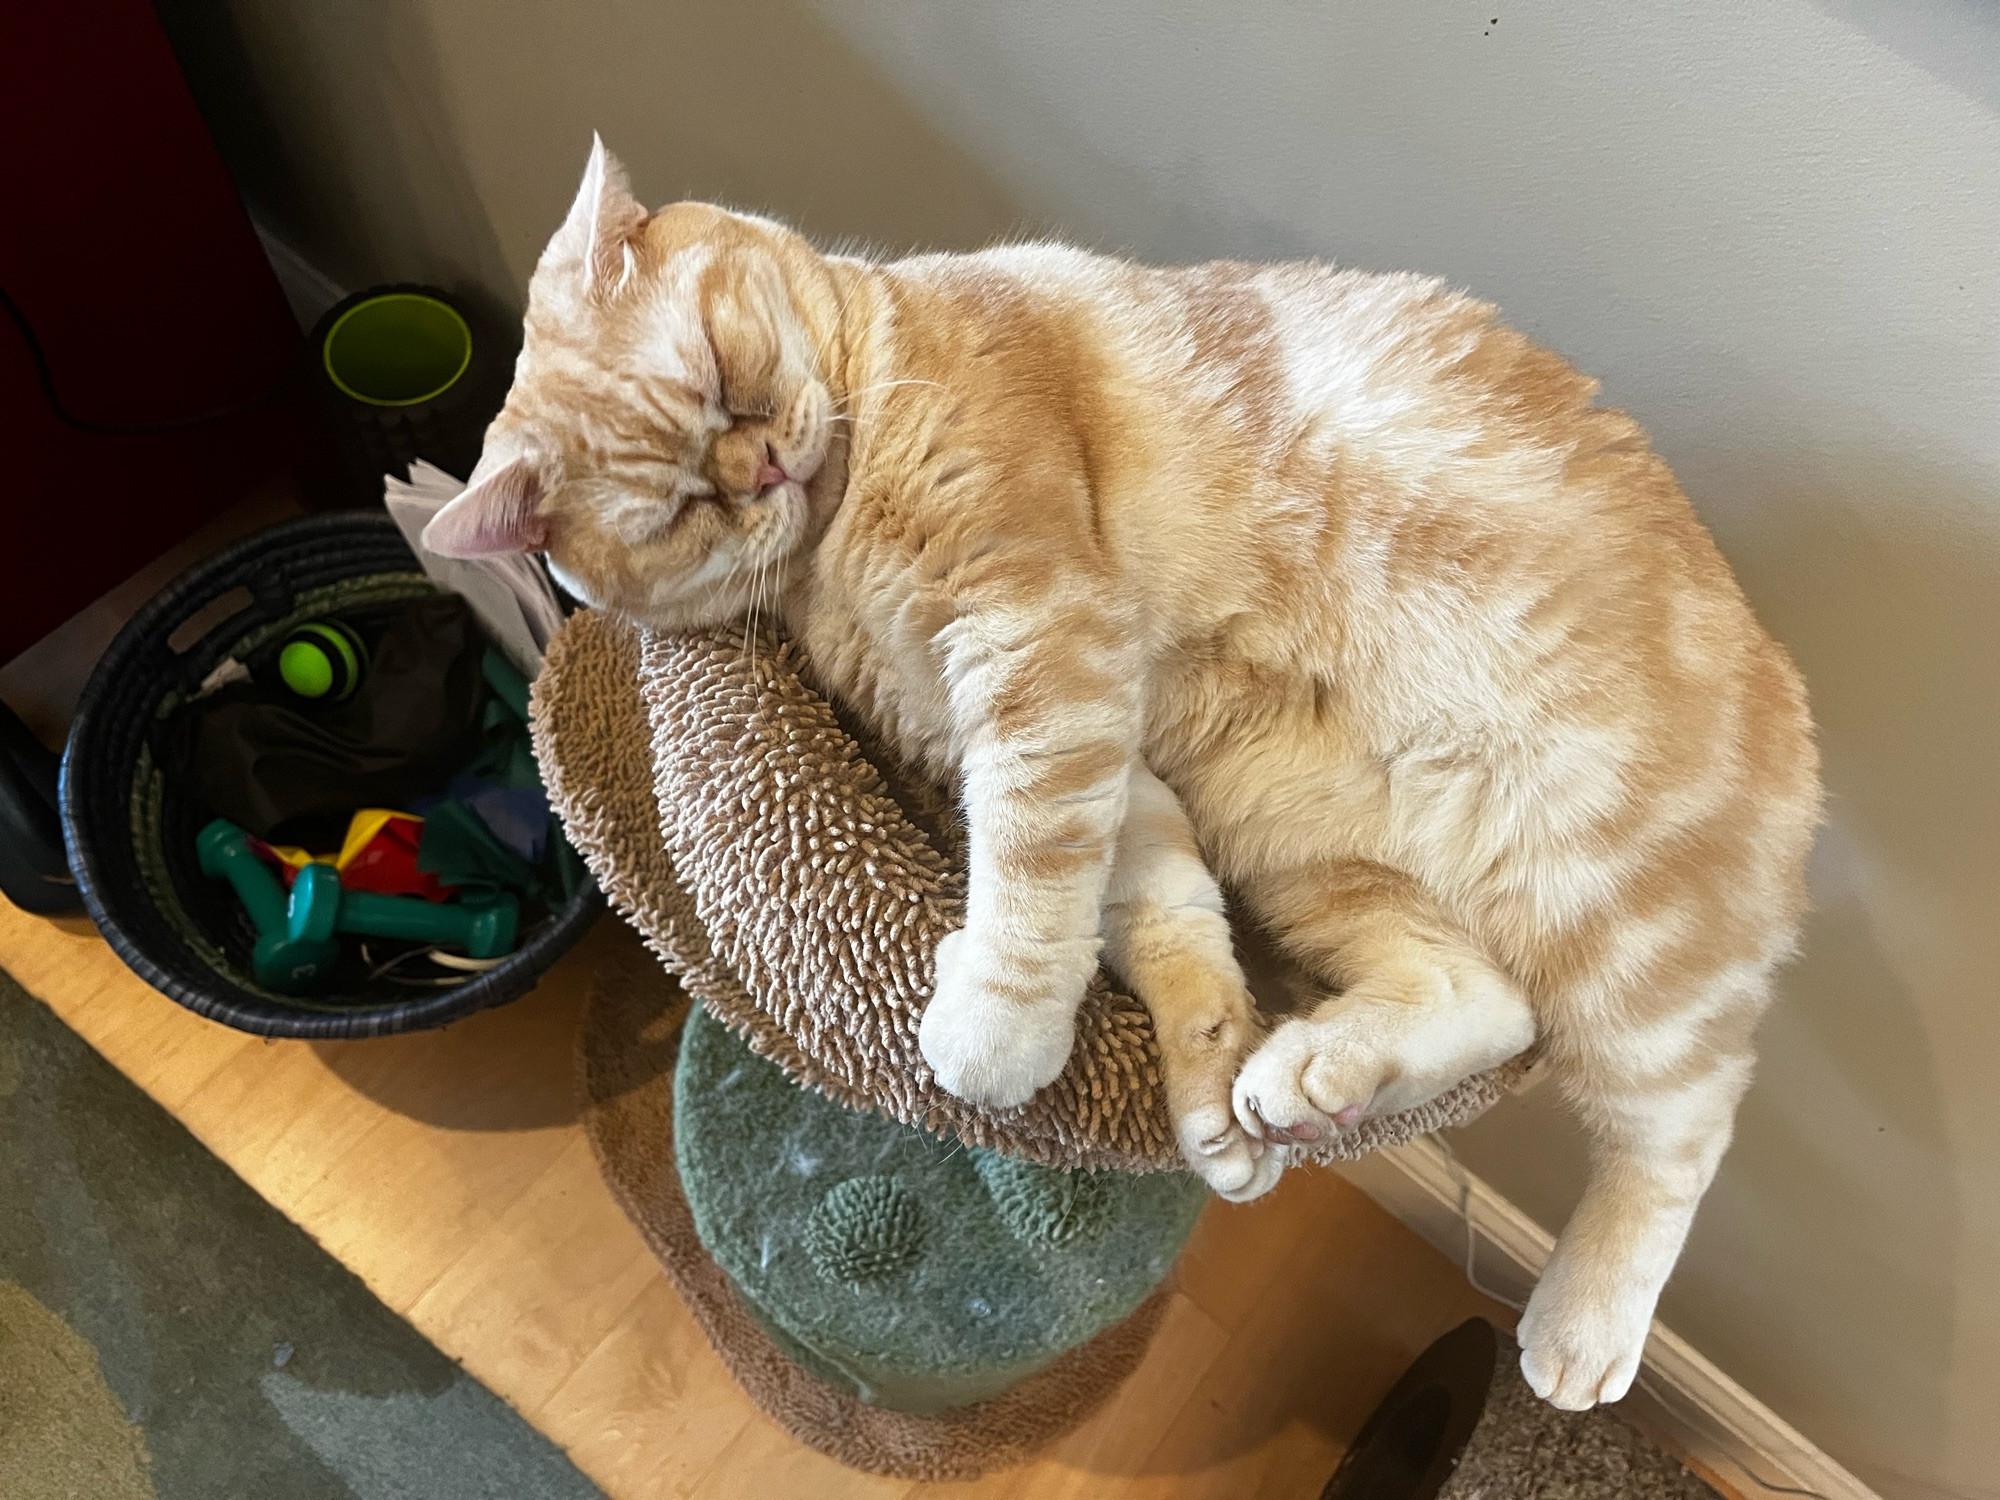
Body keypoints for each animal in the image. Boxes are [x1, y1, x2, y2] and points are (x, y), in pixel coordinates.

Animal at [430, 141, 1824, 1408]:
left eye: (725, 381)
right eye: (674, 507)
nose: (761, 469)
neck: (837, 534)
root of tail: (1786, 676)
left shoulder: (1038, 649)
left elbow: (1029, 889)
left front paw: (994, 1034)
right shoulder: (1080, 747)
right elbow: (1148, 913)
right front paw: (1204, 1089)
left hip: (1618, 917)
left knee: (1679, 1128)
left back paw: (1581, 1330)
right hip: (1304, 849)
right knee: (1485, 1000)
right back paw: (1305, 1078)